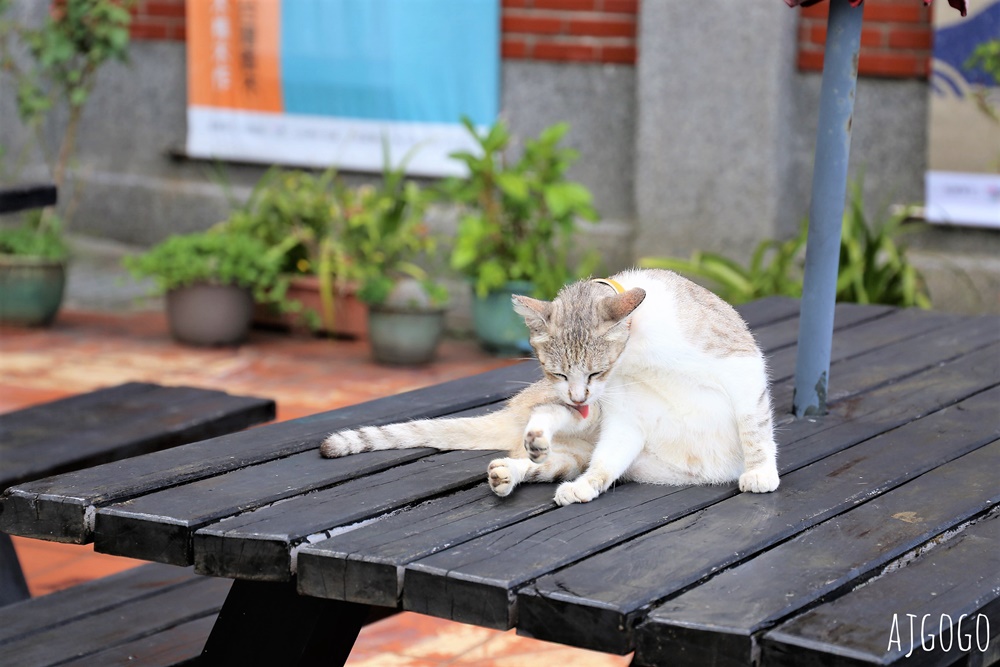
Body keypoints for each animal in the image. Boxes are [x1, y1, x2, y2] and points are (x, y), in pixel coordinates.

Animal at [320, 268, 780, 504]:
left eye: (594, 372)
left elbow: (754, 428)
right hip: (579, 425)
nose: (578, 395)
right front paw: (586, 487)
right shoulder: (622, 415)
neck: (641, 355)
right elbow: (607, 460)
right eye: (558, 373)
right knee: (544, 435)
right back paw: (522, 457)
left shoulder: (742, 368)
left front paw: (759, 472)